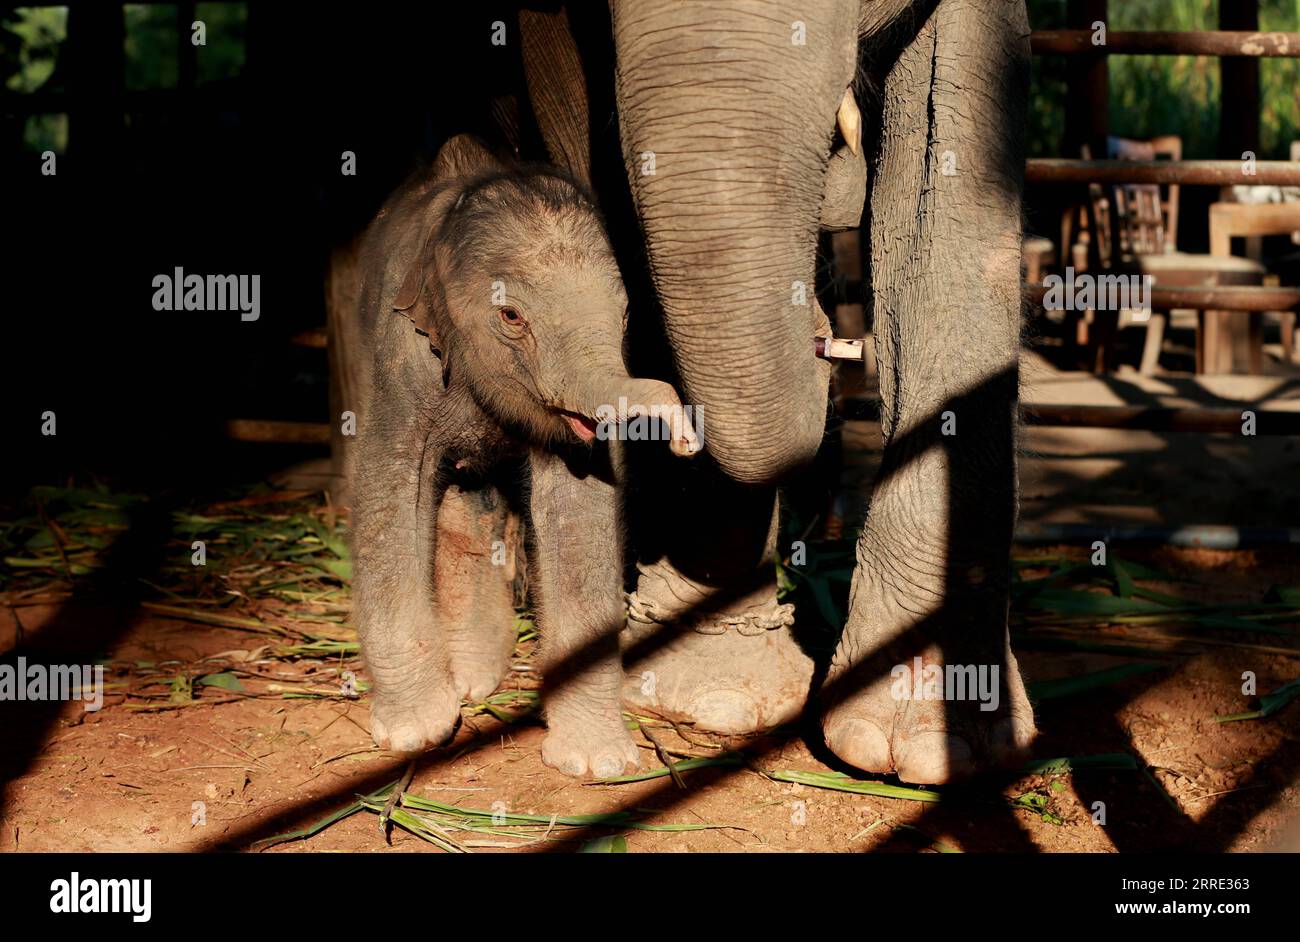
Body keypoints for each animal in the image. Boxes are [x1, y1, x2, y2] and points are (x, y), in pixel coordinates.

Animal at [343, 135, 691, 774]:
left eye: (626, 315)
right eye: (510, 315)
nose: (683, 439)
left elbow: (577, 509)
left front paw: (597, 764)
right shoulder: (401, 356)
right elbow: (389, 492)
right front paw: (415, 733)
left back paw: (476, 678)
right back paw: (466, 685)